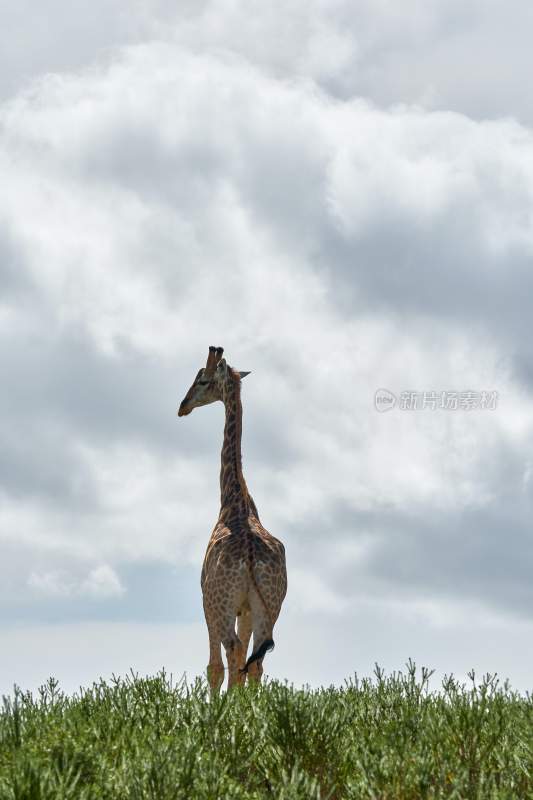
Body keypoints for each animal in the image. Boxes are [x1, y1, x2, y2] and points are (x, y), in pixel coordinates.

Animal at [178, 346, 286, 692]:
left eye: (202, 380)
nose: (182, 406)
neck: (234, 502)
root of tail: (251, 557)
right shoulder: (248, 607)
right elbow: (244, 664)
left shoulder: (207, 601)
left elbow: (216, 665)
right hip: (271, 606)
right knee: (255, 661)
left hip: (221, 604)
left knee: (233, 652)